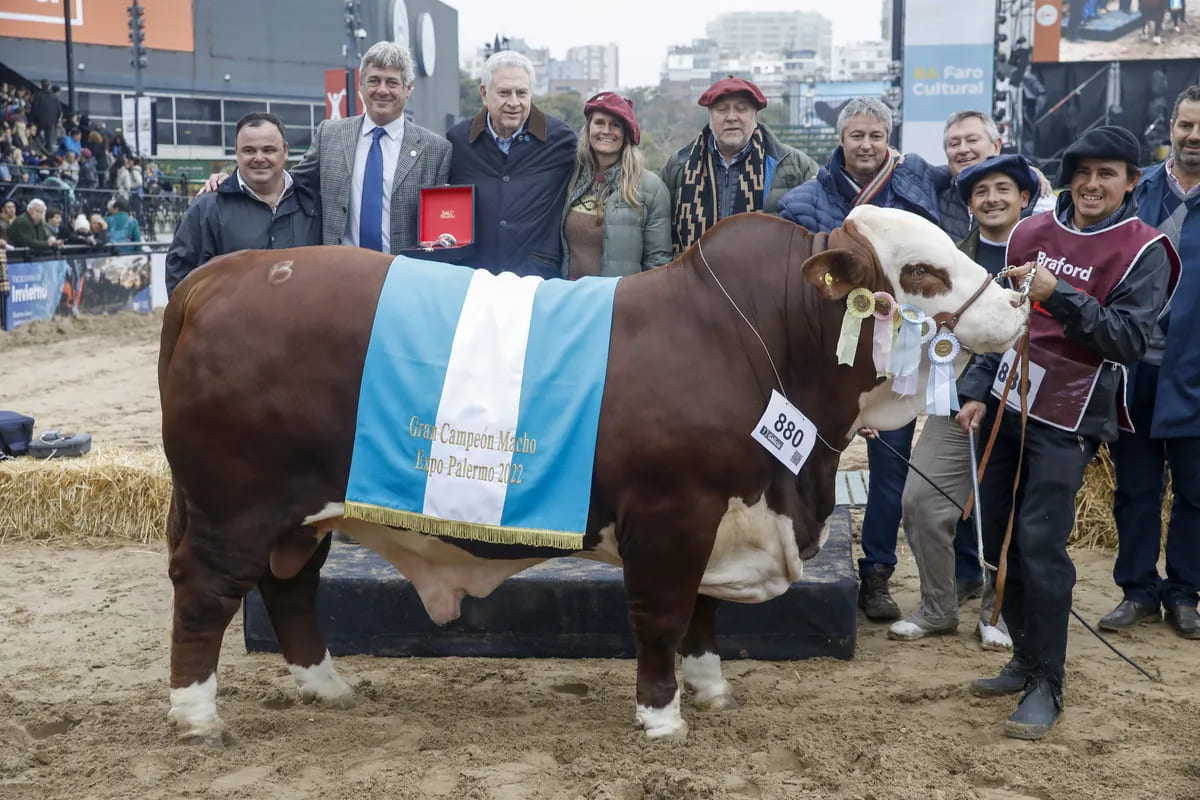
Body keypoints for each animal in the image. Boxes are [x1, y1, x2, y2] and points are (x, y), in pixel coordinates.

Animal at [157, 203, 1022, 743]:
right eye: (922, 273)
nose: (1018, 301)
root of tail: (221, 274)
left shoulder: (724, 517)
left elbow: (706, 616)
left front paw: (711, 689)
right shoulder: (673, 517)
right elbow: (664, 617)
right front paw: (662, 716)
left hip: (304, 514)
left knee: (289, 589)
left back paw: (328, 687)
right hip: (236, 509)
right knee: (206, 596)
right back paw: (197, 716)